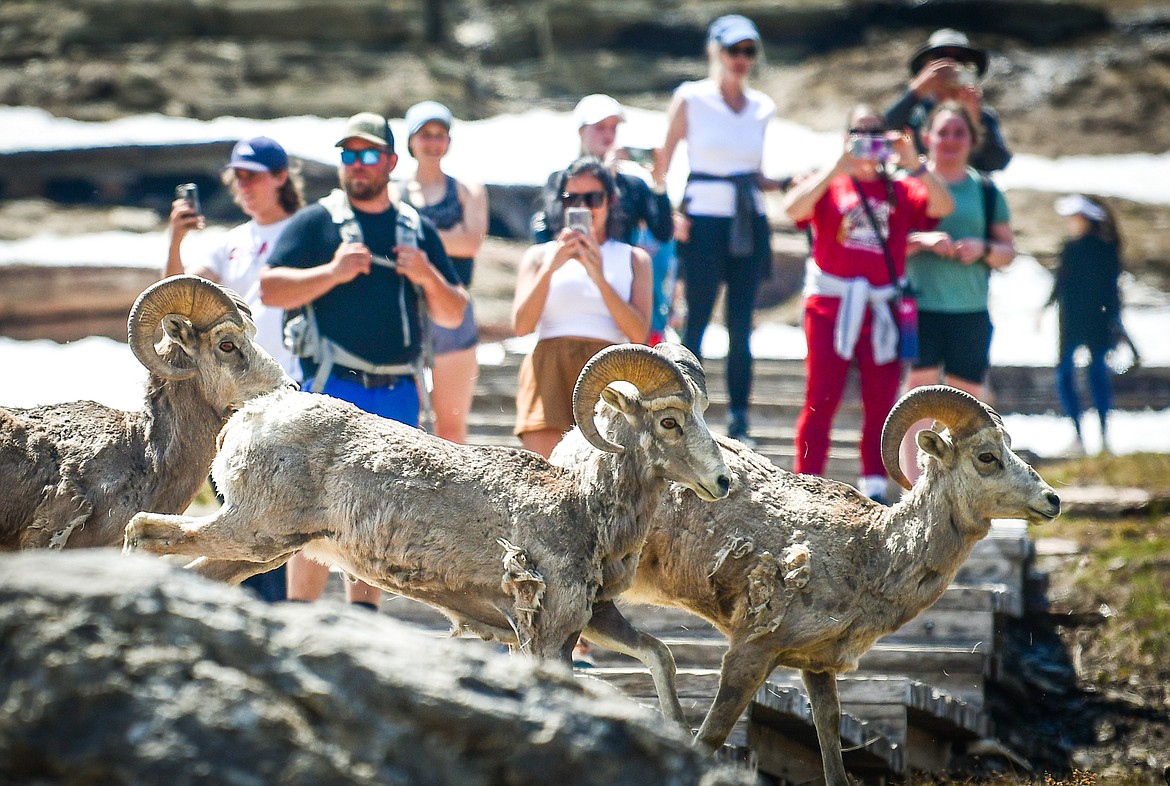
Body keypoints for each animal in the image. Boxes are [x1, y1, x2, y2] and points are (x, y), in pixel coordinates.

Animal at [125, 343, 730, 725]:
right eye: (669, 422)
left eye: (701, 412)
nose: (721, 482)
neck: (584, 504)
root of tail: (253, 416)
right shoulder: (551, 630)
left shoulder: (596, 617)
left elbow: (660, 655)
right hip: (249, 531)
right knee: (144, 530)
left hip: (258, 552)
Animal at [549, 383, 1062, 781]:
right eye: (987, 457)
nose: (1052, 501)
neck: (871, 553)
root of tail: (575, 444)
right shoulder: (751, 651)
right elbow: (711, 735)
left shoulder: (816, 667)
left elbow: (831, 746)